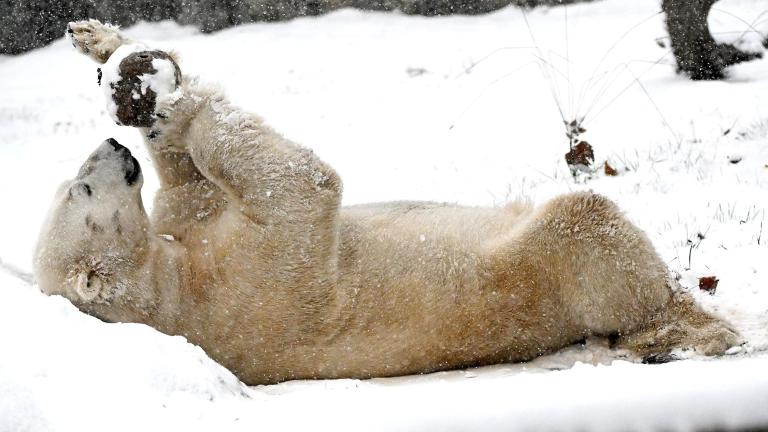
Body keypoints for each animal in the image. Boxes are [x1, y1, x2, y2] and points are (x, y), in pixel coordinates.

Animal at [33, 20, 740, 384]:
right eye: (81, 190)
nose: (109, 148)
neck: (171, 295)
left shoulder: (193, 241)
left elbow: (190, 186)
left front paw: (112, 53)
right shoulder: (249, 285)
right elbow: (299, 184)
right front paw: (161, 93)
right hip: (547, 271)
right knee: (588, 227)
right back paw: (688, 329)